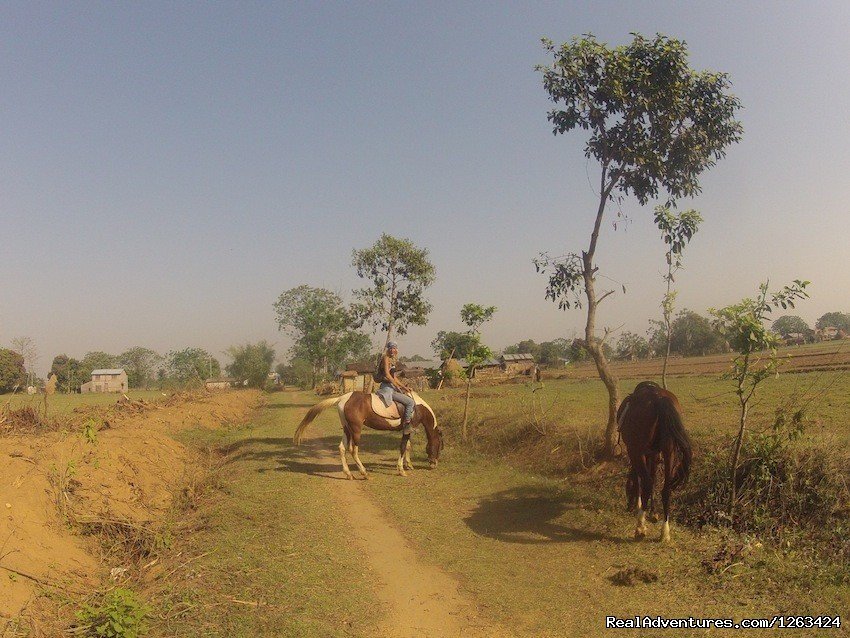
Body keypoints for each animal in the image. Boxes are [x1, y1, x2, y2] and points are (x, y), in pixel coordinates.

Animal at [292, 390, 440, 480]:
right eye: (439, 447)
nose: (434, 464)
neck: (417, 407)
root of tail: (343, 398)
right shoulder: (408, 429)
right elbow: (403, 447)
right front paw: (401, 470)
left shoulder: (407, 430)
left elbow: (407, 447)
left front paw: (408, 465)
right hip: (356, 430)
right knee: (353, 450)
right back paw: (364, 473)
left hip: (347, 429)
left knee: (342, 448)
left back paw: (349, 474)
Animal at [616, 382, 688, 544]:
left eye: (627, 489)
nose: (628, 506)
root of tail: (659, 398)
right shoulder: (654, 454)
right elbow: (654, 477)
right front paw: (653, 512)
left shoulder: (637, 453)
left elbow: (640, 480)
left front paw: (640, 506)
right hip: (670, 451)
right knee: (666, 489)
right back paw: (665, 532)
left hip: (638, 451)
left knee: (647, 483)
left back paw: (640, 528)